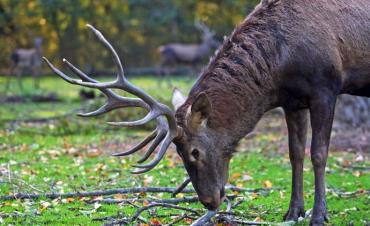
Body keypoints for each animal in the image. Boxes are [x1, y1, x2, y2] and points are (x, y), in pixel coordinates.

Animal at [45, 0, 370, 224]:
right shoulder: (292, 100)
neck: (281, 66)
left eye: (195, 152)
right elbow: (294, 153)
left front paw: (318, 215)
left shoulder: (326, 86)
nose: (211, 202)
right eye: (177, 153)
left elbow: (319, 153)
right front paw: (293, 212)